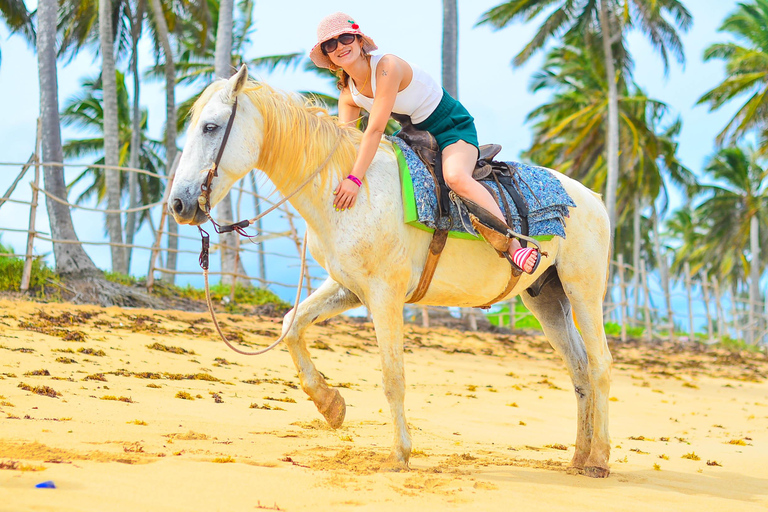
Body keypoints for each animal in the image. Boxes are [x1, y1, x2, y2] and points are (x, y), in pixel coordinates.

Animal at [168, 66, 612, 478]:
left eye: (210, 127)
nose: (178, 204)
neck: (349, 190)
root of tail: (592, 198)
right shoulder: (347, 288)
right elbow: (292, 324)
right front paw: (331, 405)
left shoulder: (385, 294)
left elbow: (392, 375)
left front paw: (399, 454)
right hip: (547, 298)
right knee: (579, 369)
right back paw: (579, 456)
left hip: (583, 290)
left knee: (601, 364)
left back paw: (599, 460)